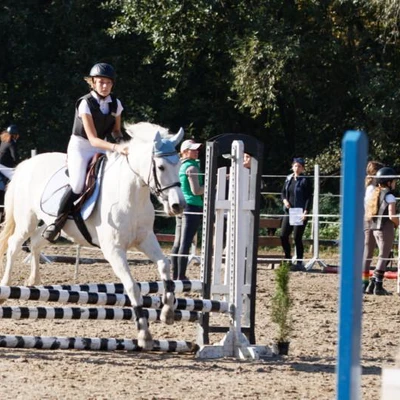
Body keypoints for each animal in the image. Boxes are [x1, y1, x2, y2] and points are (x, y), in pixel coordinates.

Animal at [0, 122, 186, 350]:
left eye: (179, 164)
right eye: (160, 167)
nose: (178, 206)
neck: (130, 196)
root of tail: (27, 164)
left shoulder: (145, 240)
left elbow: (165, 266)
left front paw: (168, 313)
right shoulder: (113, 250)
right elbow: (132, 287)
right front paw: (145, 335)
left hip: (52, 226)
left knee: (36, 242)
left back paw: (34, 280)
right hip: (27, 219)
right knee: (14, 245)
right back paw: (5, 286)